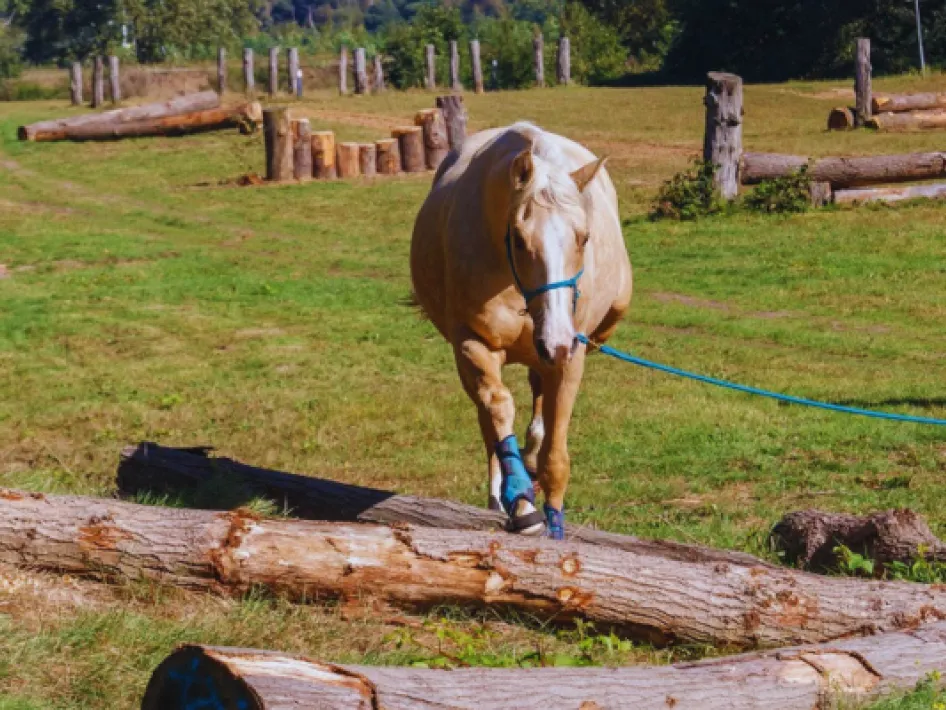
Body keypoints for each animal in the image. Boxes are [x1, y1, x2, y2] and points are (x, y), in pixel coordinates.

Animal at [410, 121, 632, 539]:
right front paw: (522, 502)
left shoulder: (571, 357)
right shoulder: (472, 343)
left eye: (584, 237)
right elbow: (498, 409)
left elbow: (555, 453)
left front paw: (555, 520)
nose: (556, 341)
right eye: (517, 237)